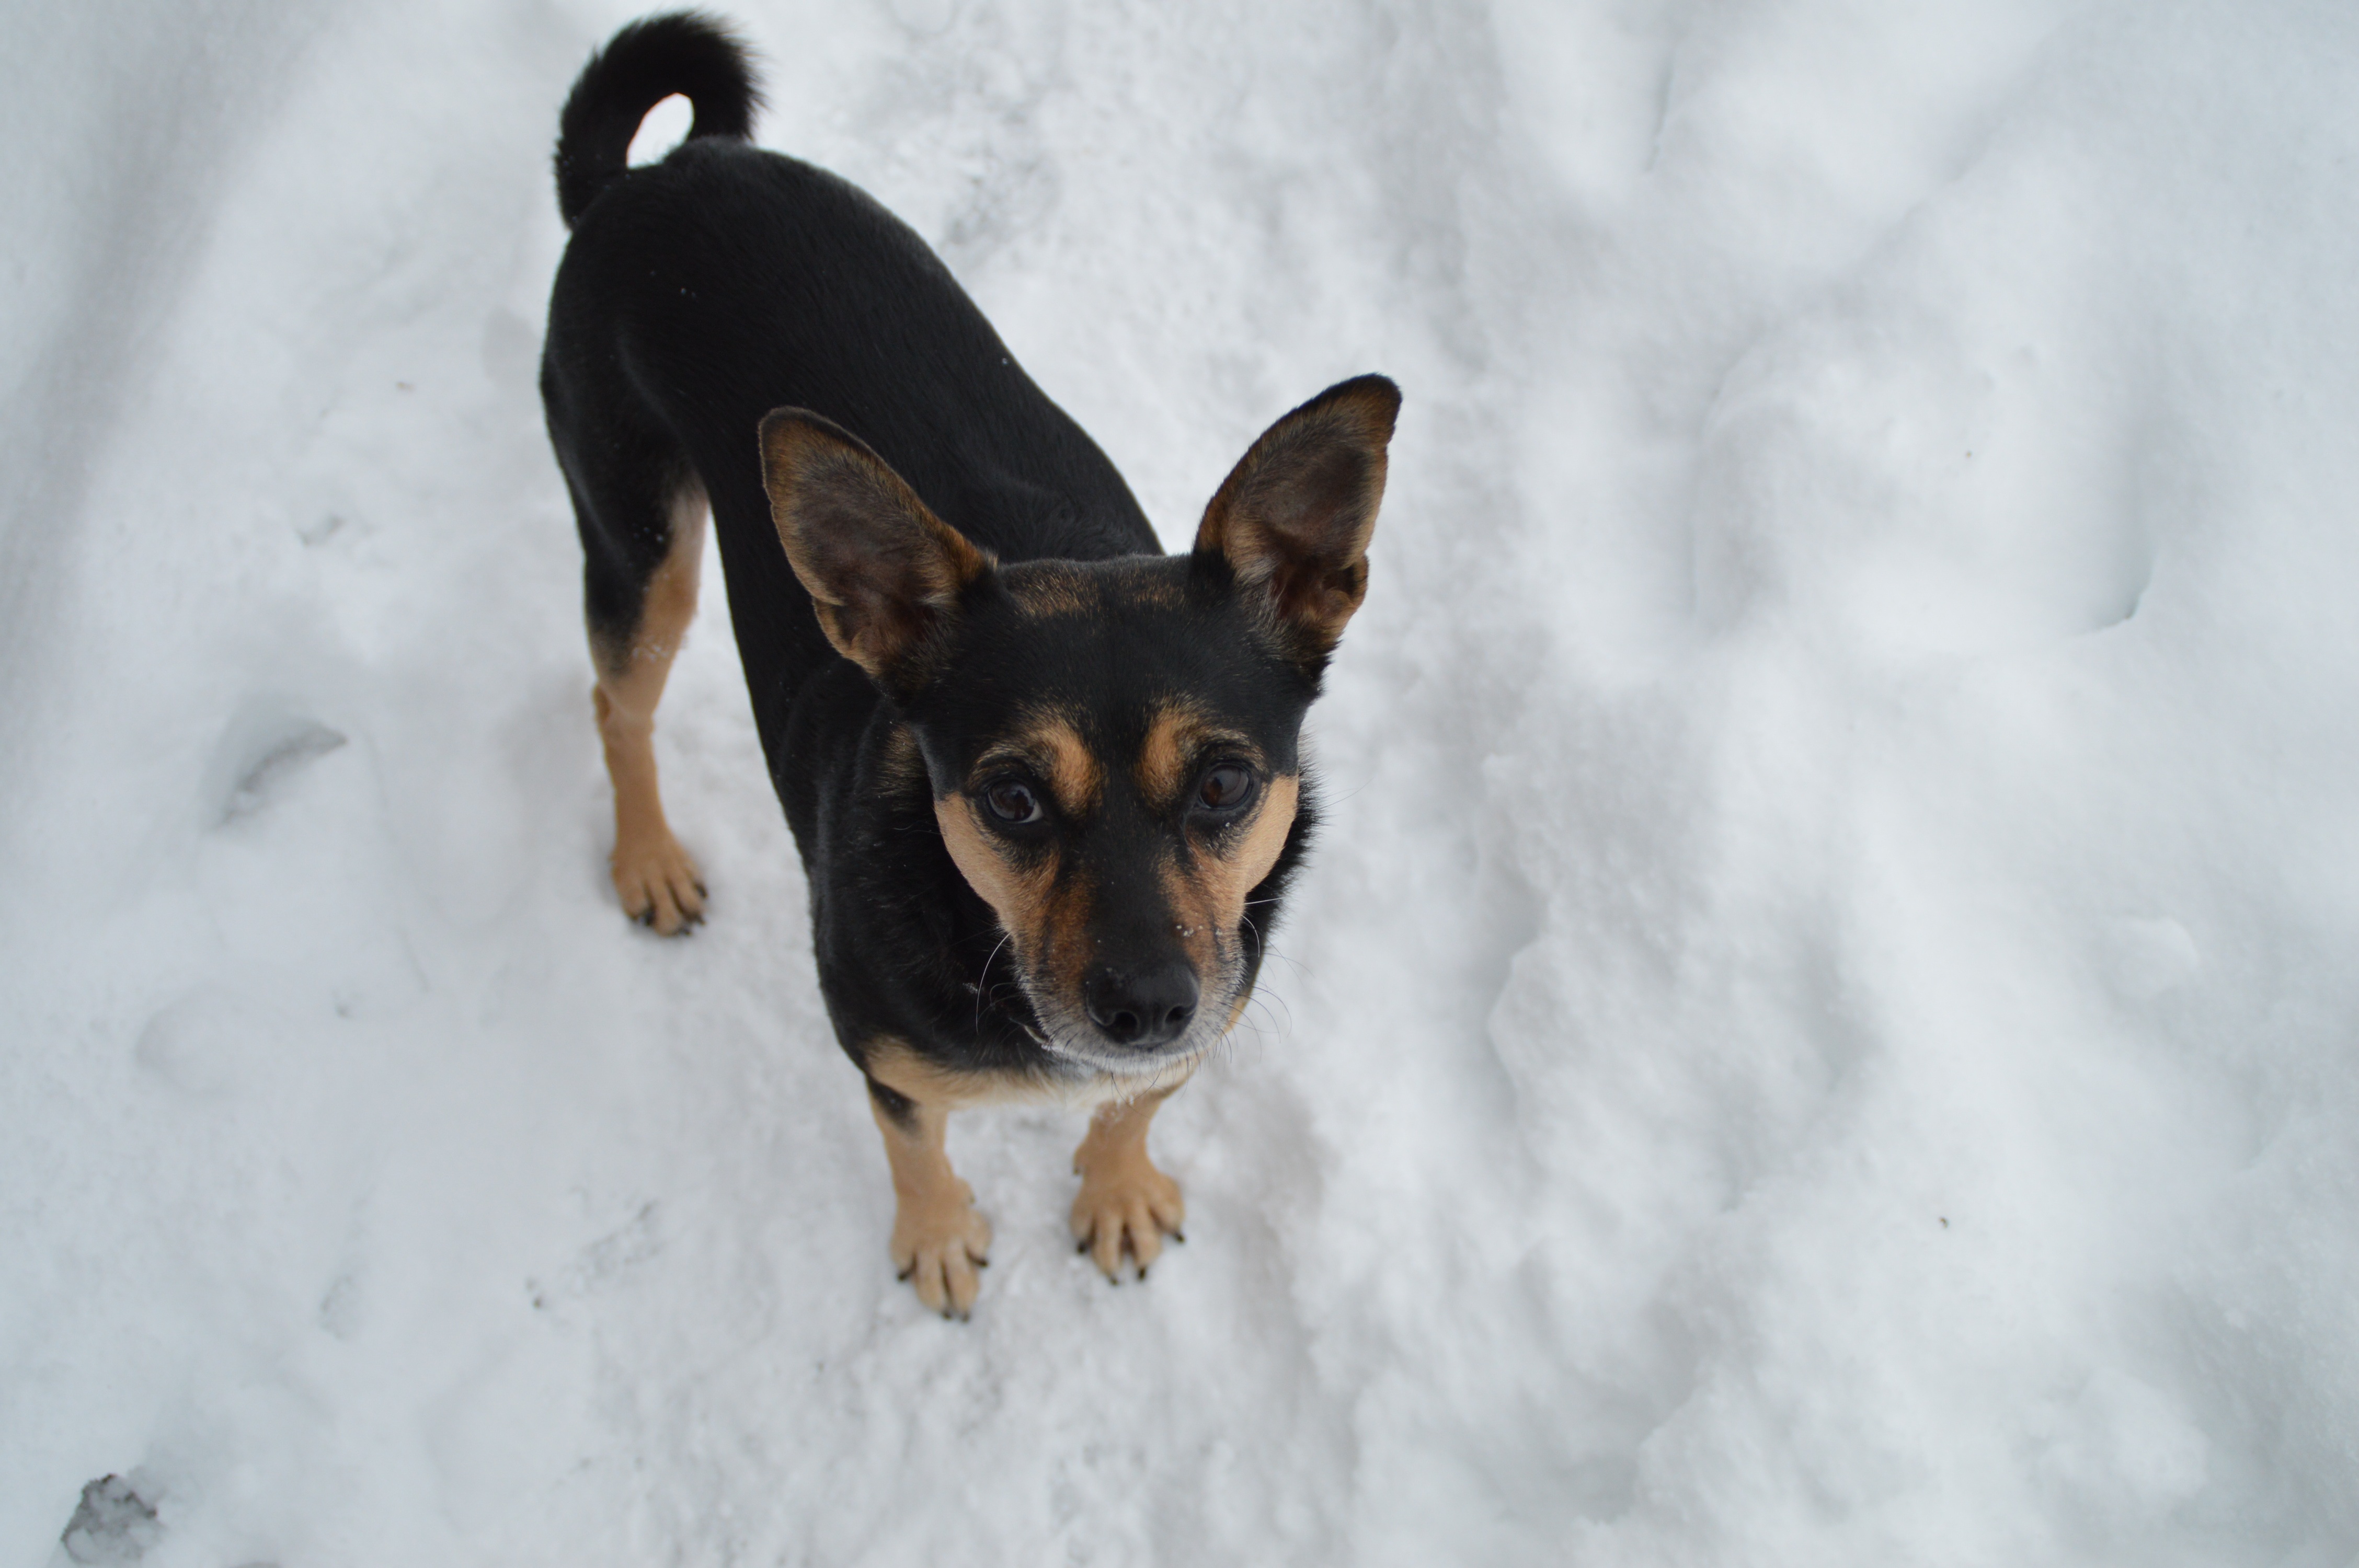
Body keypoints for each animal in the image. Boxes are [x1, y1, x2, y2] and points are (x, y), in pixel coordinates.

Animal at [547, 15, 1396, 1311]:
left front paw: (1117, 1190)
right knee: (615, 700)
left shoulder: (1217, 992)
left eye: (1224, 784)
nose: (1147, 1005)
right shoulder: (879, 1051)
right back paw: (649, 861)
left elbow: (1137, 1105)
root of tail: (653, 175)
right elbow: (914, 1141)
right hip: (638, 543)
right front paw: (939, 1238)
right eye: (1011, 799)